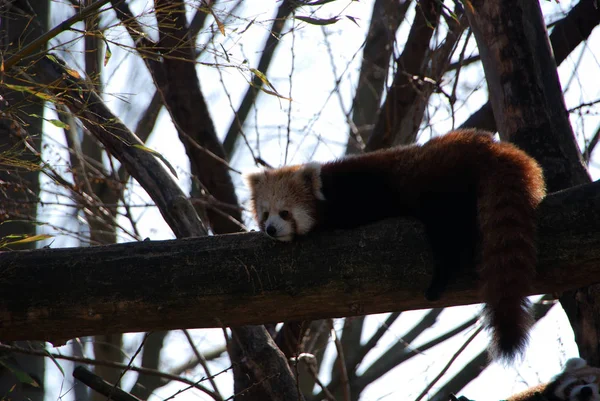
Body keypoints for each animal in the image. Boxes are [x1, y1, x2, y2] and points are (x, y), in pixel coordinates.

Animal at [246, 128, 548, 360]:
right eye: (266, 214)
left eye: (285, 213)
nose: (271, 229)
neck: (328, 188)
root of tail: (487, 145)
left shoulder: (357, 194)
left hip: (441, 191)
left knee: (447, 236)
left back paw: (439, 279)